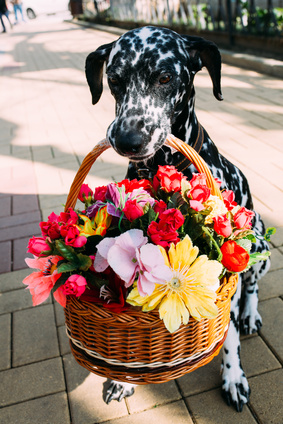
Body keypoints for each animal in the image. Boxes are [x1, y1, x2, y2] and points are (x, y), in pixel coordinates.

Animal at [85, 25, 272, 410]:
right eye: (114, 79)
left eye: (165, 77)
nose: (126, 138)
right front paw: (119, 378)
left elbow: (229, 333)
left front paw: (233, 376)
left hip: (260, 248)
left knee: (252, 287)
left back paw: (250, 314)